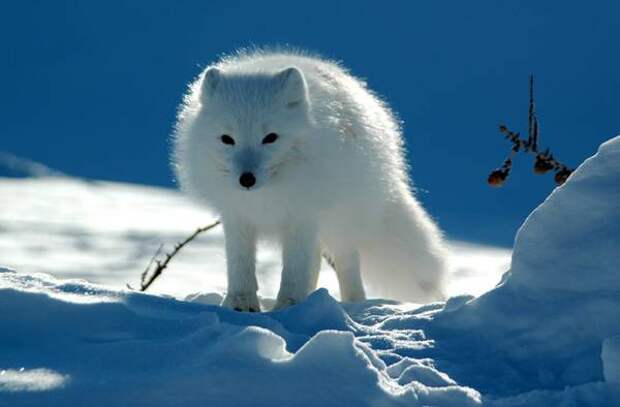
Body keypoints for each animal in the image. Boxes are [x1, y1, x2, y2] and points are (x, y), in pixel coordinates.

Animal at [172, 51, 448, 312]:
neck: (267, 195)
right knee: (315, 261)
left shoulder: (302, 215)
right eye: (227, 139)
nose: (246, 179)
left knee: (346, 263)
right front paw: (241, 304)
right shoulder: (237, 216)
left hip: (341, 221)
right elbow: (240, 265)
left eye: (270, 137)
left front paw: (288, 306)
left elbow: (294, 271)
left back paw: (351, 303)